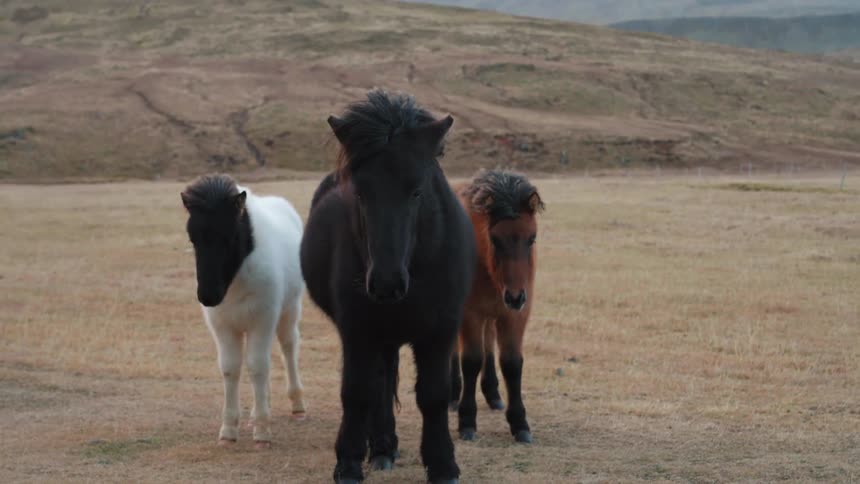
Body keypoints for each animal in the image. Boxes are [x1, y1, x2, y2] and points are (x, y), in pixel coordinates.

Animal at [181, 174, 306, 449]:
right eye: (193, 240)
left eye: (229, 238)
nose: (208, 296)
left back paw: (298, 406)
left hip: (288, 310)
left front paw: (262, 431)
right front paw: (229, 430)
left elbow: (257, 366)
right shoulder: (224, 326)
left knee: (288, 347)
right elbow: (231, 368)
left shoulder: (263, 320)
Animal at [301, 89, 476, 484]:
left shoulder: (440, 331)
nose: (385, 283)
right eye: (360, 193)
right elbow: (357, 392)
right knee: (378, 384)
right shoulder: (358, 330)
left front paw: (443, 464)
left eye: (417, 191)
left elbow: (433, 395)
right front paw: (348, 463)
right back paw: (379, 448)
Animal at [448, 170, 544, 444]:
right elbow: (471, 360)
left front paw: (520, 424)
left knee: (489, 342)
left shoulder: (515, 316)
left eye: (531, 238)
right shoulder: (470, 314)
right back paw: (453, 395)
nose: (515, 297)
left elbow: (511, 363)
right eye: (494, 239)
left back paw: (492, 394)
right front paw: (467, 422)